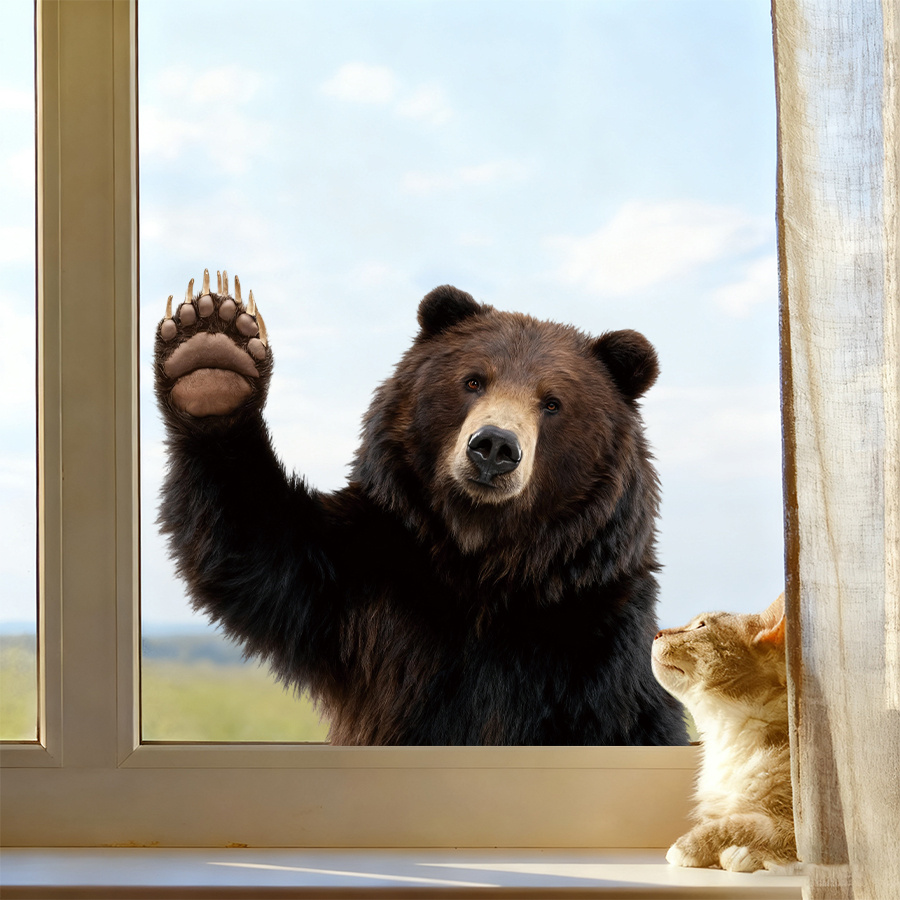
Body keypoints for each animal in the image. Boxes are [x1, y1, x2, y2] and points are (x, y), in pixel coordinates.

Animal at [154, 268, 688, 746]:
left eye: (552, 402)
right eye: (473, 381)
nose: (494, 447)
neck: (481, 567)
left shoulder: (591, 643)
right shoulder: (367, 581)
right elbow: (255, 545)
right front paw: (212, 352)